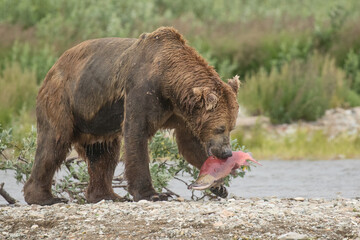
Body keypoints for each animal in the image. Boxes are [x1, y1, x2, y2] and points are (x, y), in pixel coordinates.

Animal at [23, 27, 240, 205]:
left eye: (231, 127)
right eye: (220, 128)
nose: (226, 152)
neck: (169, 82)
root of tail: (53, 67)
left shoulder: (182, 113)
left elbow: (189, 144)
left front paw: (218, 185)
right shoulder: (142, 89)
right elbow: (136, 134)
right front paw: (152, 194)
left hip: (98, 122)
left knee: (103, 154)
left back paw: (108, 195)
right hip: (63, 99)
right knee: (53, 143)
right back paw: (45, 197)